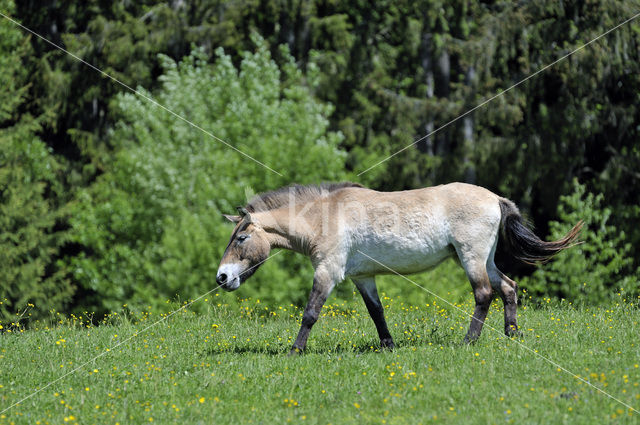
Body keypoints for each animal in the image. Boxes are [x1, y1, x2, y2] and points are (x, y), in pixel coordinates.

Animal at [218, 182, 584, 354]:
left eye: (241, 237)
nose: (222, 277)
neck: (322, 217)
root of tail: (495, 198)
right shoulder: (363, 278)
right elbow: (376, 312)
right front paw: (388, 346)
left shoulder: (328, 272)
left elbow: (310, 313)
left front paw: (295, 350)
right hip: (485, 258)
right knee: (507, 287)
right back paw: (512, 333)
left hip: (471, 257)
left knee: (483, 294)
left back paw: (468, 341)